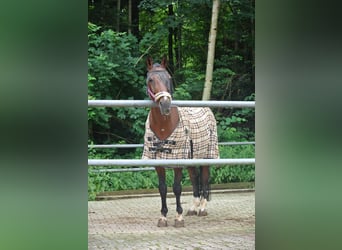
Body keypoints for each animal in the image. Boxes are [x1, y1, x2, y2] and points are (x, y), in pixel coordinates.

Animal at [142, 56, 219, 227]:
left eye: (169, 78)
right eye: (150, 79)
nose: (165, 105)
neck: (163, 126)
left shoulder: (178, 161)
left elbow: (177, 187)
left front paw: (178, 217)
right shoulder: (158, 163)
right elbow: (163, 188)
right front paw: (163, 217)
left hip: (207, 155)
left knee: (204, 179)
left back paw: (202, 209)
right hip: (191, 159)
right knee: (195, 179)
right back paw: (192, 208)